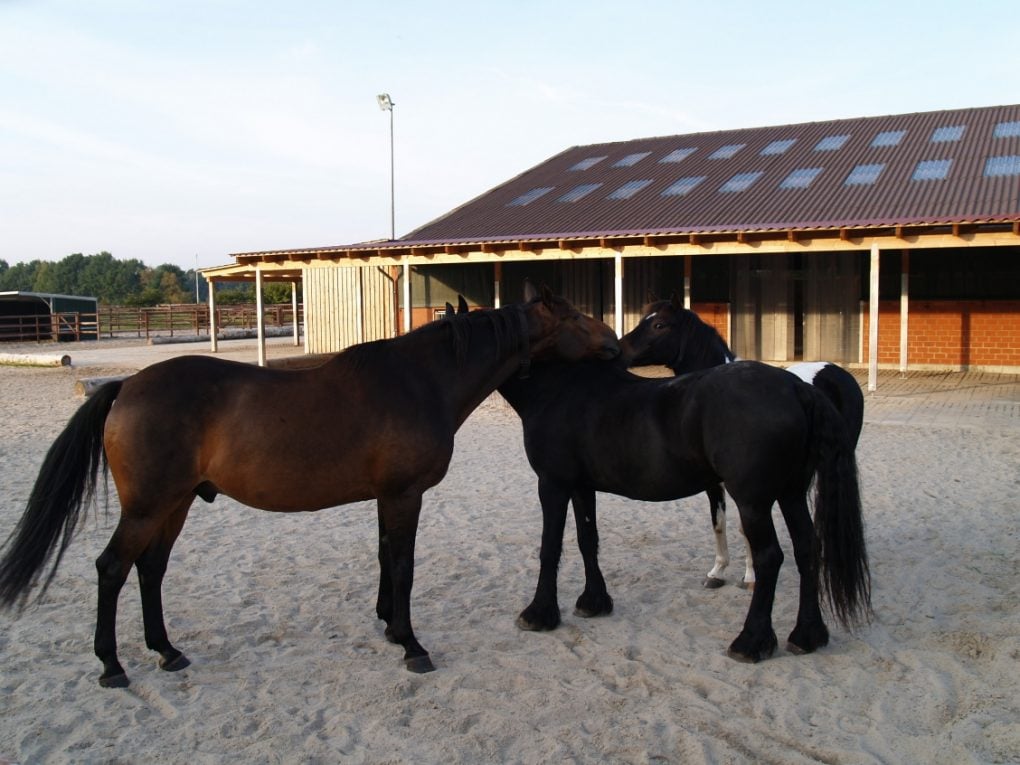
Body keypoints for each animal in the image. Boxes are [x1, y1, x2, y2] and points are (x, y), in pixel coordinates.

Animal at [0, 283, 612, 689]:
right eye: (577, 317)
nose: (614, 345)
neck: (422, 381)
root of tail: (126, 386)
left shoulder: (387, 498)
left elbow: (385, 559)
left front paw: (390, 629)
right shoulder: (404, 495)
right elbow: (403, 565)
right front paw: (412, 644)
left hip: (174, 506)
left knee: (150, 570)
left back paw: (168, 651)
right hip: (148, 508)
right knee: (112, 569)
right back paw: (112, 666)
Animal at [497, 357, 873, 660]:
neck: (559, 390)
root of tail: (798, 389)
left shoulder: (553, 484)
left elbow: (550, 547)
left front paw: (538, 613)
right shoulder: (581, 487)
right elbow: (587, 541)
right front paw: (594, 601)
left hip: (754, 502)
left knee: (769, 558)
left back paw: (750, 642)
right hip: (791, 494)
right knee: (807, 548)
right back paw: (807, 635)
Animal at [616, 291, 864, 587]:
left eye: (659, 325)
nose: (619, 349)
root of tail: (837, 372)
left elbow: (745, 530)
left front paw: (750, 576)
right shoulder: (714, 484)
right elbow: (718, 523)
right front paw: (717, 571)